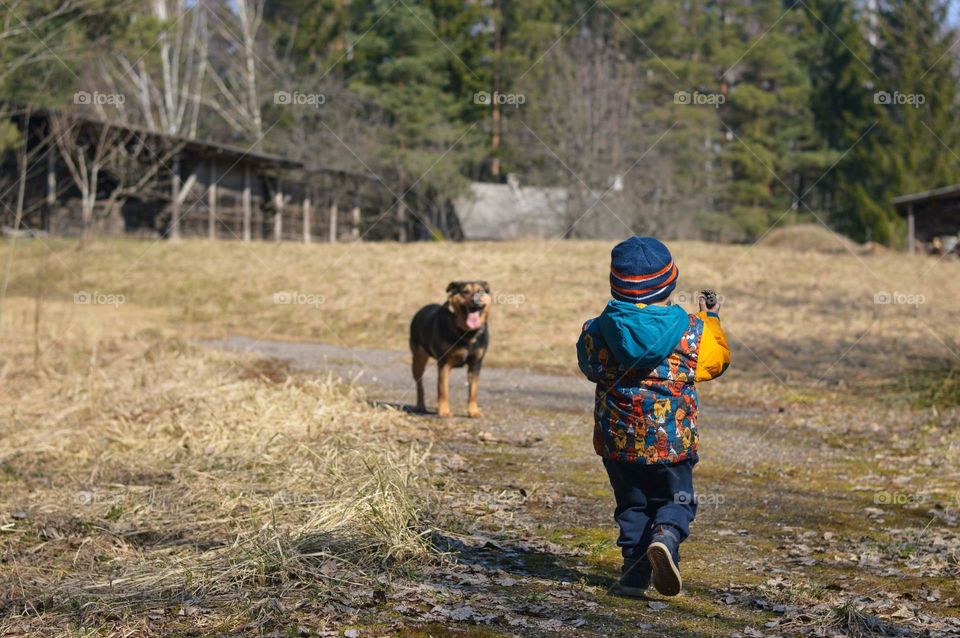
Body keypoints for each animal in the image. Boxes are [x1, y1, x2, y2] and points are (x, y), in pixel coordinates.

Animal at [408, 282, 492, 418]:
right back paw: (420, 406)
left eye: (481, 291)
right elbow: (443, 389)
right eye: (465, 292)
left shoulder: (475, 364)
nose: (476, 301)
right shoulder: (444, 363)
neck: (466, 332)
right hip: (418, 359)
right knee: (419, 385)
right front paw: (444, 411)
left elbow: (473, 391)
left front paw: (473, 411)